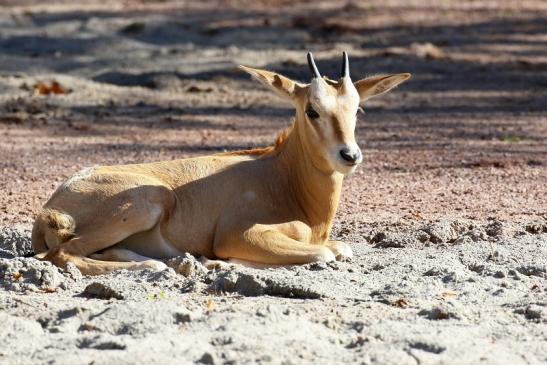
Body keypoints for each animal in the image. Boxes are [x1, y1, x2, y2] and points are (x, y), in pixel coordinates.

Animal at [31, 52, 412, 274]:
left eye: (357, 109)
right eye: (312, 110)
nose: (349, 155)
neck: (282, 178)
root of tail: (53, 205)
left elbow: (339, 248)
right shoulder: (240, 234)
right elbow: (324, 255)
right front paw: (216, 259)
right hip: (150, 201)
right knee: (63, 255)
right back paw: (158, 266)